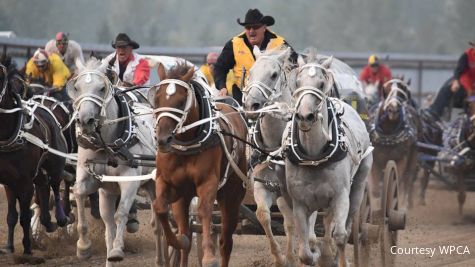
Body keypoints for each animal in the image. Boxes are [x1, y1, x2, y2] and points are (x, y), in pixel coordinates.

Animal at [67, 58, 160, 267]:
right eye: (76, 87)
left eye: (102, 88)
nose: (85, 120)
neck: (107, 144)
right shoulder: (91, 178)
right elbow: (79, 193)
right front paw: (83, 247)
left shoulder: (130, 180)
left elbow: (121, 213)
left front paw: (118, 250)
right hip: (119, 191)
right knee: (111, 223)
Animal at [152, 63, 249, 267]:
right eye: (156, 99)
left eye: (181, 101)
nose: (163, 139)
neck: (187, 145)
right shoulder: (168, 183)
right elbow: (160, 207)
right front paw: (177, 241)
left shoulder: (208, 182)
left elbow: (204, 211)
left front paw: (209, 256)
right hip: (184, 197)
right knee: (186, 235)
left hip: (232, 196)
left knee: (226, 241)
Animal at [284, 52, 374, 267]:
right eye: (298, 81)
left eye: (321, 83)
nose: (304, 116)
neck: (314, 157)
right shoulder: (300, 203)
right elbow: (305, 249)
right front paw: (315, 254)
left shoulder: (340, 196)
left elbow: (340, 236)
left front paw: (336, 259)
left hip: (358, 188)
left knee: (345, 227)